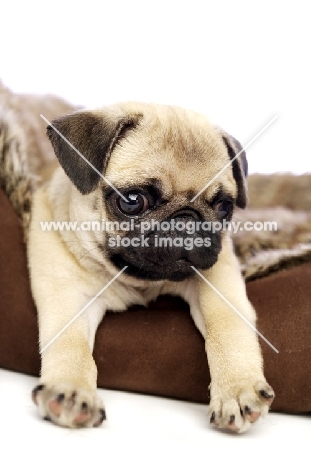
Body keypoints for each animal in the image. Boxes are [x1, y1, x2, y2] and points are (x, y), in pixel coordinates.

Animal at [28, 102, 274, 432]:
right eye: (132, 201)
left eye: (224, 208)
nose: (187, 222)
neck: (139, 280)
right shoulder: (68, 296)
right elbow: (70, 343)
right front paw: (70, 391)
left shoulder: (219, 277)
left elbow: (227, 325)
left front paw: (238, 389)